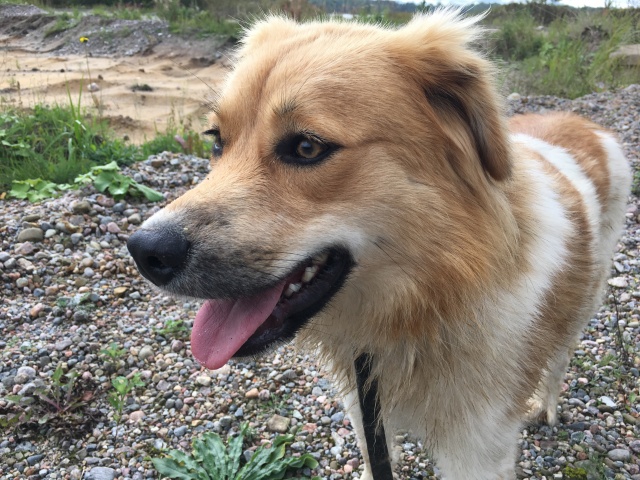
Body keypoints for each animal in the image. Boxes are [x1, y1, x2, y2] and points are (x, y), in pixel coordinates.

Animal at [127, 10, 631, 479]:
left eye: (307, 148)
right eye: (217, 142)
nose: (144, 251)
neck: (425, 302)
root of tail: (579, 122)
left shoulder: (477, 446)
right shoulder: (364, 410)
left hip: (587, 297)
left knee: (560, 357)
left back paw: (544, 406)